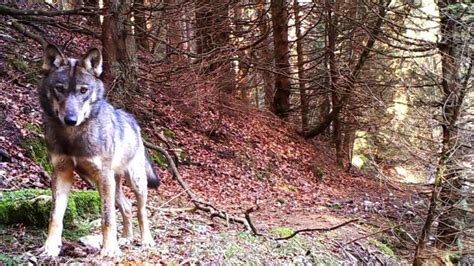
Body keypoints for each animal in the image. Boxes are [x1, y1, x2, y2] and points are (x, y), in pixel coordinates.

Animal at [37, 44, 159, 256]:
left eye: (83, 90)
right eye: (59, 89)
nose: (70, 119)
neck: (73, 137)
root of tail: (133, 121)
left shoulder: (103, 178)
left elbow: (108, 218)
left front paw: (110, 249)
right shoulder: (61, 173)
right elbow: (55, 217)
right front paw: (50, 247)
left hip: (133, 182)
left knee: (141, 211)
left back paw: (146, 241)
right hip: (105, 184)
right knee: (127, 206)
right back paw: (126, 238)